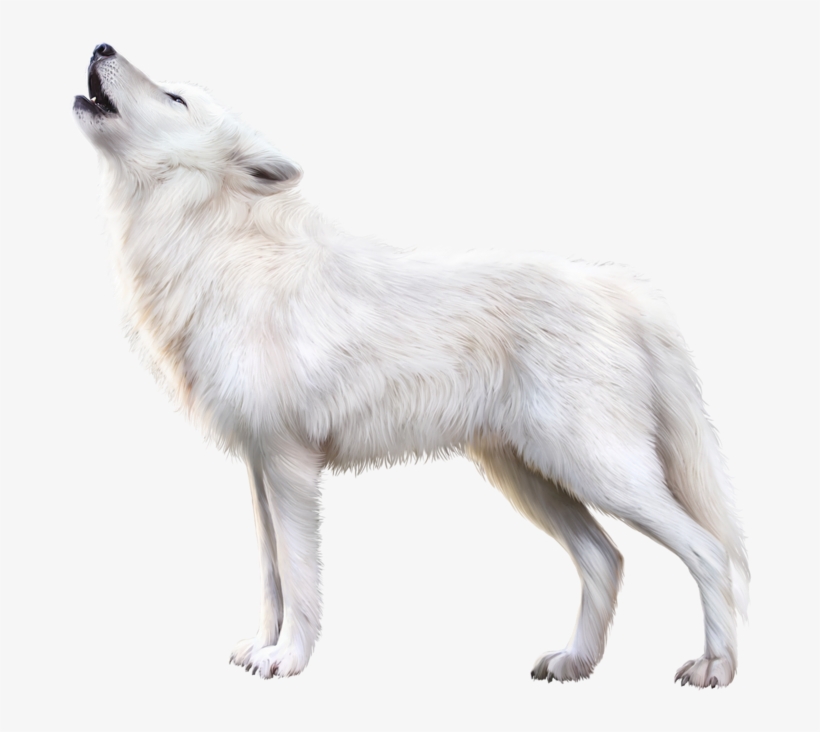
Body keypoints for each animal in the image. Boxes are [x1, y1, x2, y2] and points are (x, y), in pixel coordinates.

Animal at [74, 43, 748, 686]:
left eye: (175, 98)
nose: (101, 44)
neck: (216, 250)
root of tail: (621, 289)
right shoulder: (257, 463)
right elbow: (270, 578)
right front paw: (261, 647)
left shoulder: (289, 462)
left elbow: (299, 575)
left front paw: (287, 660)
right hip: (533, 475)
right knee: (607, 558)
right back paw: (574, 662)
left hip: (596, 470)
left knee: (707, 548)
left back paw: (714, 667)